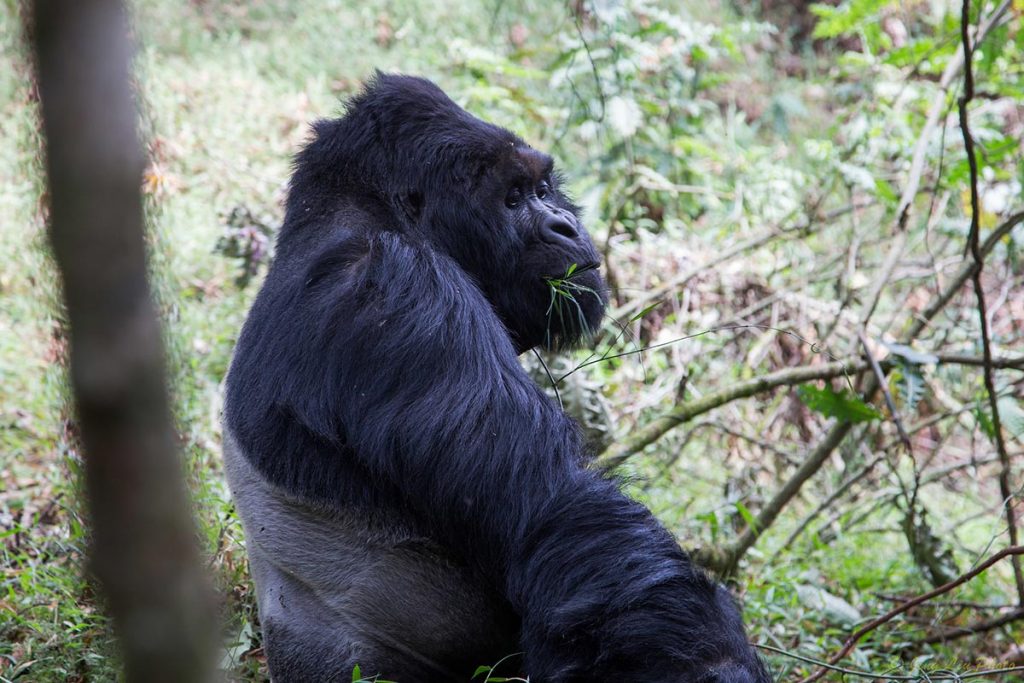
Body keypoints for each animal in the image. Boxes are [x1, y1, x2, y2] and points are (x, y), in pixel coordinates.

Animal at [222, 74, 770, 683]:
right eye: (512, 198)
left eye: (543, 187)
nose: (565, 225)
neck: (359, 210)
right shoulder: (403, 290)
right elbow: (555, 508)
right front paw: (717, 667)